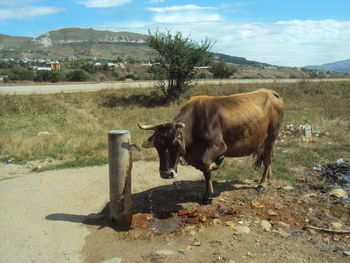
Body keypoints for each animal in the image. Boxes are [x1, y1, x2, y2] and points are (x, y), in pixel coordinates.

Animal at [137, 88, 284, 204]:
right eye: (157, 146)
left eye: (175, 145)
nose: (166, 174)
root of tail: (271, 92)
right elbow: (204, 169)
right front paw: (208, 193)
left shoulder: (219, 146)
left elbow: (205, 163)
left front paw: (209, 190)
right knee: (268, 157)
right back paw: (269, 178)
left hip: (272, 134)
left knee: (267, 159)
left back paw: (262, 183)